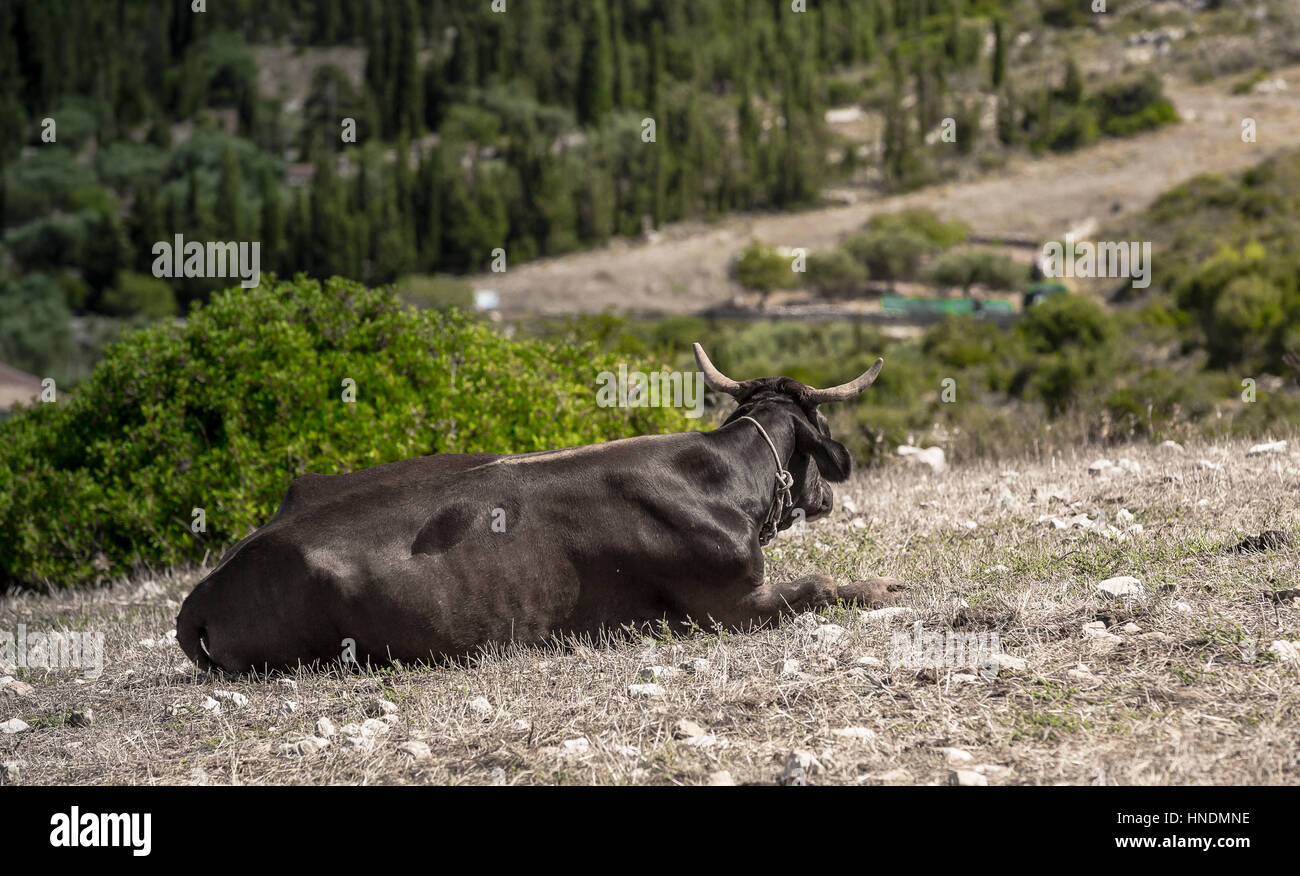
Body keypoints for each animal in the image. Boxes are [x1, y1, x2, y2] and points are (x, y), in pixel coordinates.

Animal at [176, 344, 904, 674]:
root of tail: (206, 590)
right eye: (821, 426)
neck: (720, 478)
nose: (829, 494)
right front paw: (881, 587)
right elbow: (818, 585)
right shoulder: (728, 603)